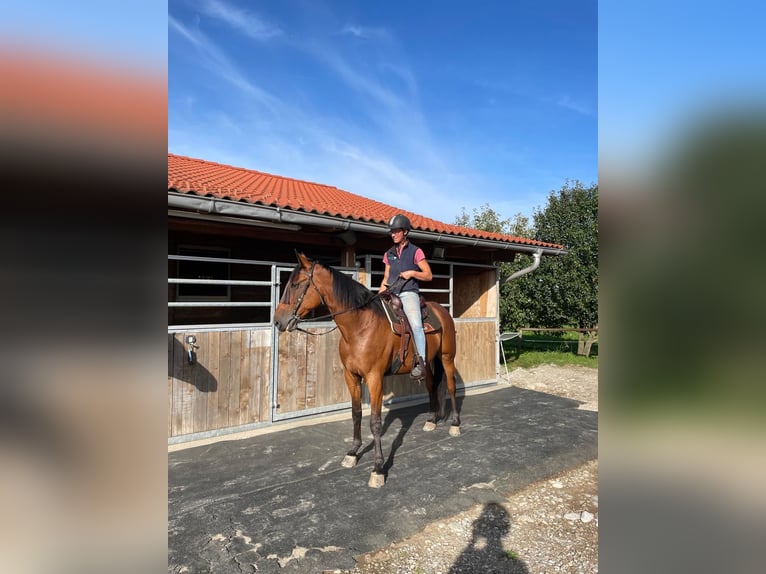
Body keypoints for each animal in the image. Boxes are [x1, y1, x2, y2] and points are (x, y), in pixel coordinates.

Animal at [274, 252, 460, 488]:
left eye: (296, 284)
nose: (277, 321)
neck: (360, 327)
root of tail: (442, 312)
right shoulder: (351, 376)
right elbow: (356, 414)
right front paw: (352, 453)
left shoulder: (374, 378)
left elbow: (375, 422)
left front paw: (378, 469)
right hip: (427, 364)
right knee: (431, 387)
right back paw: (431, 421)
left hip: (447, 358)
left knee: (452, 387)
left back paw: (455, 424)